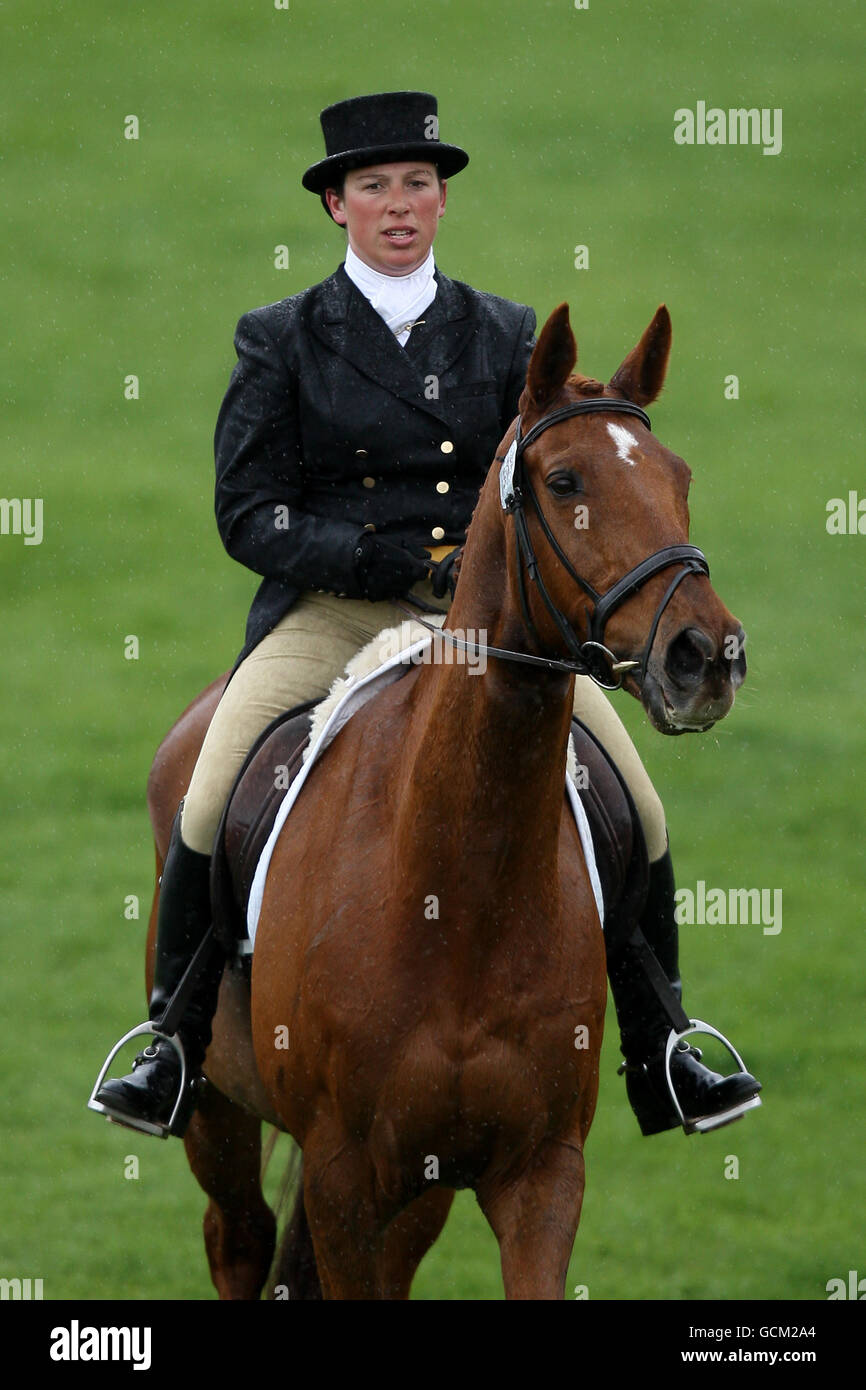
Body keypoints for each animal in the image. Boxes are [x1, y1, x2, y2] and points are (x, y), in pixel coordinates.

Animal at [140, 304, 745, 1301]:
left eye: (680, 477)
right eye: (565, 481)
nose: (706, 657)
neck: (456, 890)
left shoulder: (538, 1171)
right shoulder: (346, 1175)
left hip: (420, 1186)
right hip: (219, 1107)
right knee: (239, 1235)